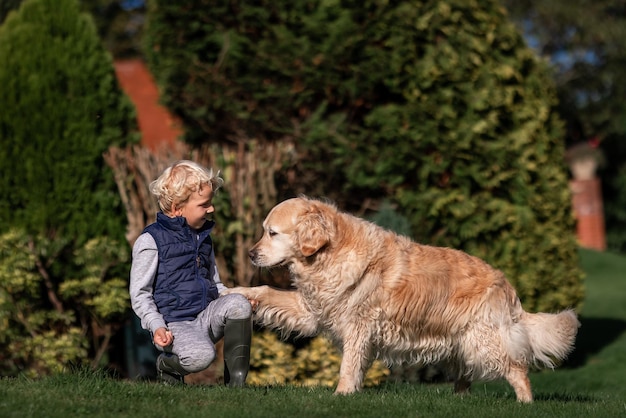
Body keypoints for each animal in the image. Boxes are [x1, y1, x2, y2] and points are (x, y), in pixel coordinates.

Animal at [223, 196, 576, 402]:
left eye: (273, 233)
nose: (251, 254)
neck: (328, 254)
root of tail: (507, 286)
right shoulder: (309, 310)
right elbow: (266, 292)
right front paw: (234, 292)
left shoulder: (359, 325)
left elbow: (349, 364)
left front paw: (342, 394)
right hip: (462, 343)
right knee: (465, 377)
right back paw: (457, 401)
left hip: (484, 339)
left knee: (517, 368)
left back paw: (525, 402)